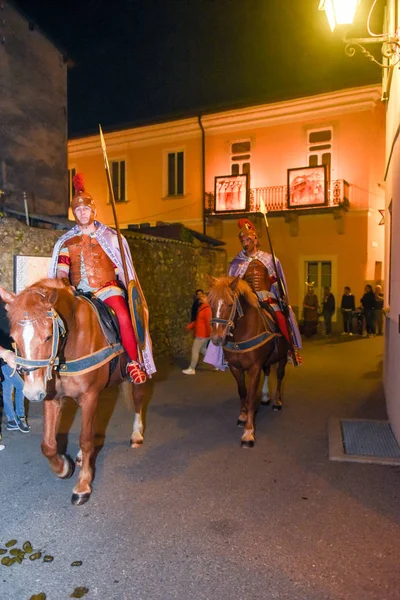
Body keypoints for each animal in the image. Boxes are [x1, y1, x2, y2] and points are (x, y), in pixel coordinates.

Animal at [0, 278, 146, 504]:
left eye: (48, 336)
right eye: (14, 338)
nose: (32, 392)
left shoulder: (89, 396)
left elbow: (86, 440)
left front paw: (83, 485)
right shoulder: (52, 397)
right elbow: (48, 445)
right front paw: (63, 467)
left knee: (138, 398)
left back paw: (137, 434)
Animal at [208, 276, 290, 446]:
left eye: (230, 304)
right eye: (210, 303)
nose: (217, 339)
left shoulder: (254, 368)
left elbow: (251, 396)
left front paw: (248, 432)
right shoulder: (236, 368)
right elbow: (242, 391)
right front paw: (243, 416)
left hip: (283, 357)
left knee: (279, 376)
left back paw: (277, 402)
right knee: (268, 371)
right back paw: (265, 396)